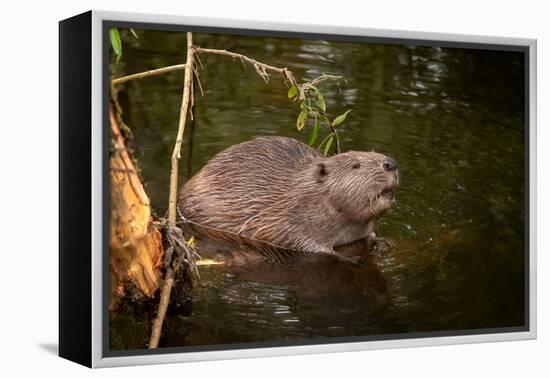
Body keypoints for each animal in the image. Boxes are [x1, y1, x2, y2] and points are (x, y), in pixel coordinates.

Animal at [181, 137, 402, 264]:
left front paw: (377, 242)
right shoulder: (284, 219)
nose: (391, 163)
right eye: (356, 165)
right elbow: (302, 244)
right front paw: (349, 257)